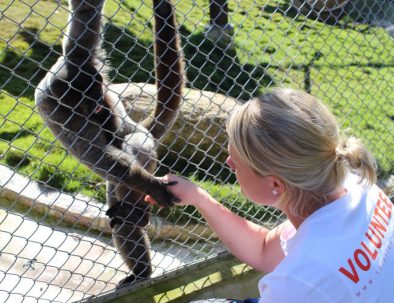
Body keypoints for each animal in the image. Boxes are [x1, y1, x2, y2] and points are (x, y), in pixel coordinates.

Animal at [33, 0, 183, 288]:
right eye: (89, 102)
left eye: (100, 91)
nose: (101, 106)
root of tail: (143, 128)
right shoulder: (58, 111)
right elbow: (95, 154)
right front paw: (153, 188)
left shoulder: (78, 55)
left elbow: (86, 12)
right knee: (120, 184)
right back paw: (140, 258)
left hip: (143, 142)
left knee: (132, 148)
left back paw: (136, 215)